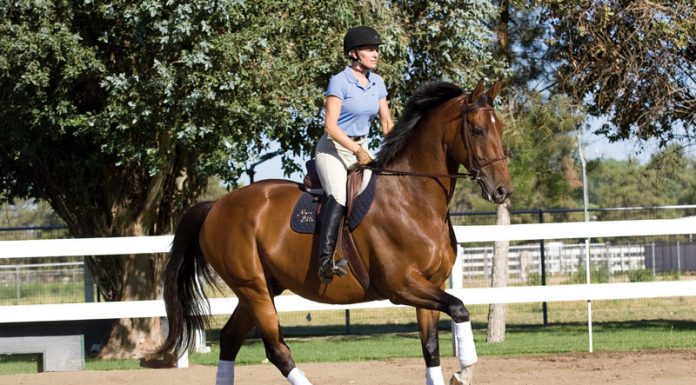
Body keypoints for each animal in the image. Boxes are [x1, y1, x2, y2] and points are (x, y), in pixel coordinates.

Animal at [160, 79, 512, 382]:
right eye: (478, 130)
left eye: (501, 129)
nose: (502, 191)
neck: (413, 196)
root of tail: (216, 206)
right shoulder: (403, 285)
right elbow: (460, 308)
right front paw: (464, 371)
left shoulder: (431, 284)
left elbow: (431, 347)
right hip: (253, 288)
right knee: (277, 350)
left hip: (261, 288)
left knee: (231, 339)